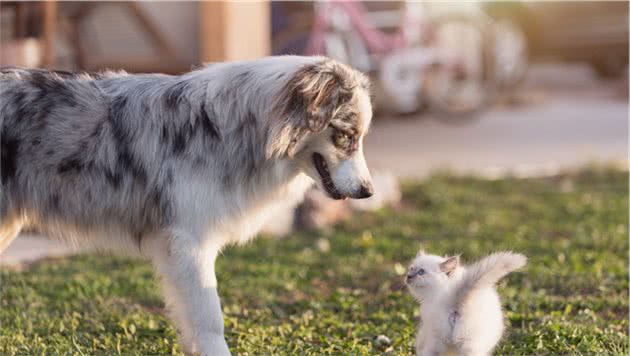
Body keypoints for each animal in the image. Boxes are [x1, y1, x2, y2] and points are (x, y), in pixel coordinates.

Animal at [0, 55, 376, 354]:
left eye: (360, 137)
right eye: (345, 136)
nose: (368, 192)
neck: (234, 130)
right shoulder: (189, 242)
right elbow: (210, 319)